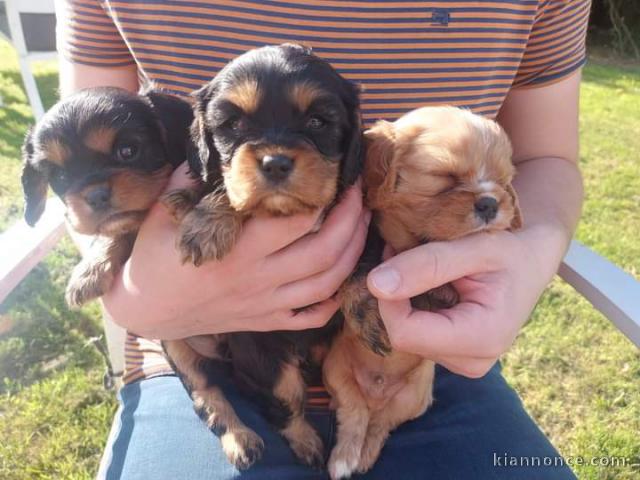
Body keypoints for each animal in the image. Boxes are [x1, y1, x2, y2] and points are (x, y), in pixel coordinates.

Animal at [161, 43, 360, 470]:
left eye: (317, 121)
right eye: (233, 125)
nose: (276, 162)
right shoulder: (257, 338)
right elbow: (285, 391)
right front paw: (205, 219)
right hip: (177, 343)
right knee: (207, 391)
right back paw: (241, 438)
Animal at [322, 107, 524, 478]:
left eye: (504, 180)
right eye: (444, 176)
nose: (490, 203)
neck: (415, 241)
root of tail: (377, 393)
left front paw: (440, 291)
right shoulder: (364, 242)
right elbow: (352, 277)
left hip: (413, 399)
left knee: (380, 425)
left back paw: (363, 454)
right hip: (336, 372)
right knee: (354, 415)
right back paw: (345, 458)